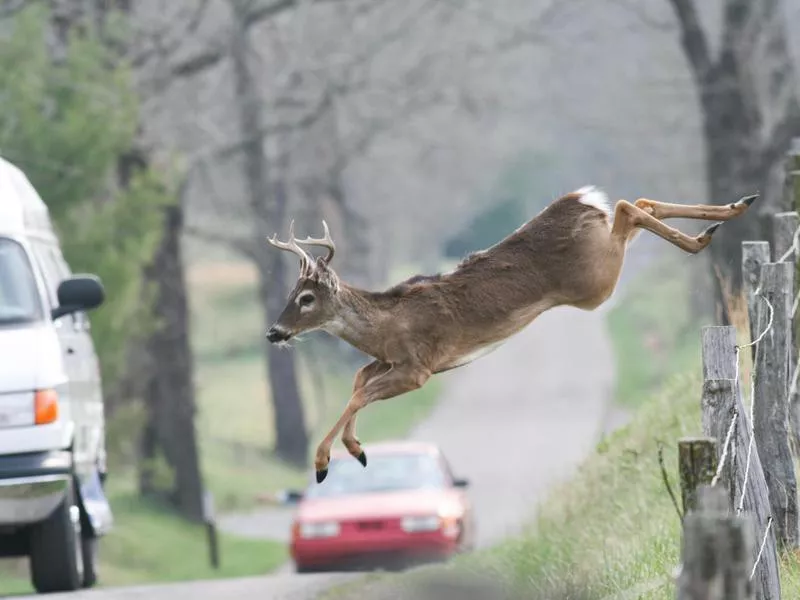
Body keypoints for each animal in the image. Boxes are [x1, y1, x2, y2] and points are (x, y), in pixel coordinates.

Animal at [264, 188, 756, 482]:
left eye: (305, 297)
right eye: (290, 293)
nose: (274, 332)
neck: (384, 326)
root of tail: (580, 200)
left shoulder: (418, 367)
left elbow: (359, 392)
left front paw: (325, 462)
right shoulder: (390, 362)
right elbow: (358, 382)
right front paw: (356, 448)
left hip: (596, 281)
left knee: (627, 206)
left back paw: (706, 234)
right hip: (603, 262)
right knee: (638, 203)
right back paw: (730, 212)